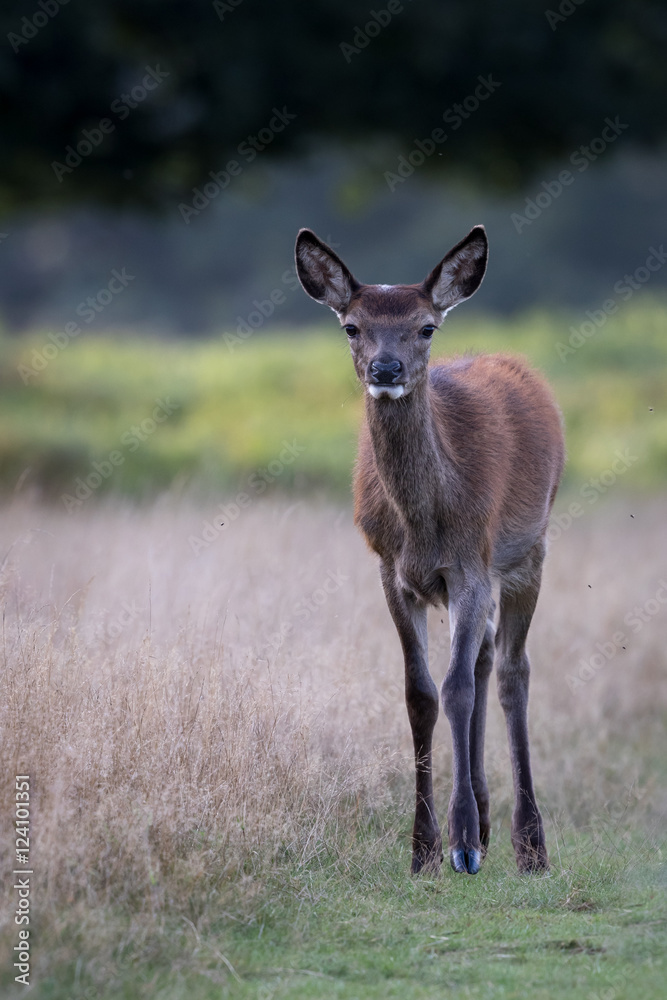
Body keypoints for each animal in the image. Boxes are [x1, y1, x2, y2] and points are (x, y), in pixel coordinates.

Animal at [295, 225, 564, 876]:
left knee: (511, 671)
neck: (424, 524)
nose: (386, 366)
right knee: (487, 658)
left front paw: (460, 842)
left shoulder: (470, 563)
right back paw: (489, 825)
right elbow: (420, 693)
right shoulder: (392, 571)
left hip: (528, 551)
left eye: (425, 328)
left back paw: (528, 842)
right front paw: (423, 849)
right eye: (352, 326)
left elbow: (456, 688)